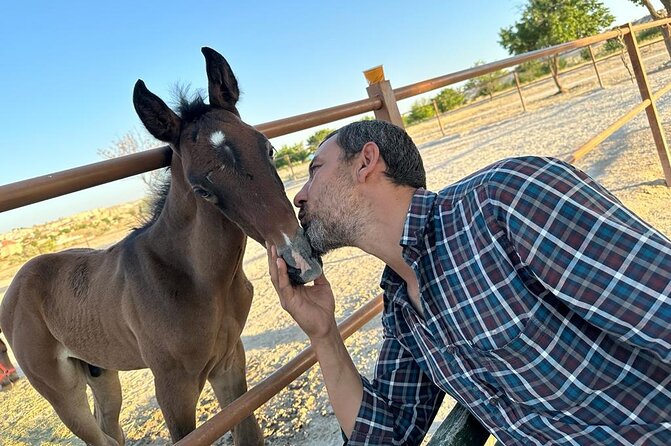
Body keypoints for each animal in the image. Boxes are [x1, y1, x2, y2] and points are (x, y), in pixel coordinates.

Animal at [0, 47, 322, 445]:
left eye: (269, 148)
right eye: (201, 189)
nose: (301, 262)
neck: (197, 280)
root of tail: (16, 284)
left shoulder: (230, 361)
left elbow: (248, 434)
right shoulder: (173, 389)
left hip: (101, 371)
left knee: (111, 429)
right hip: (62, 393)